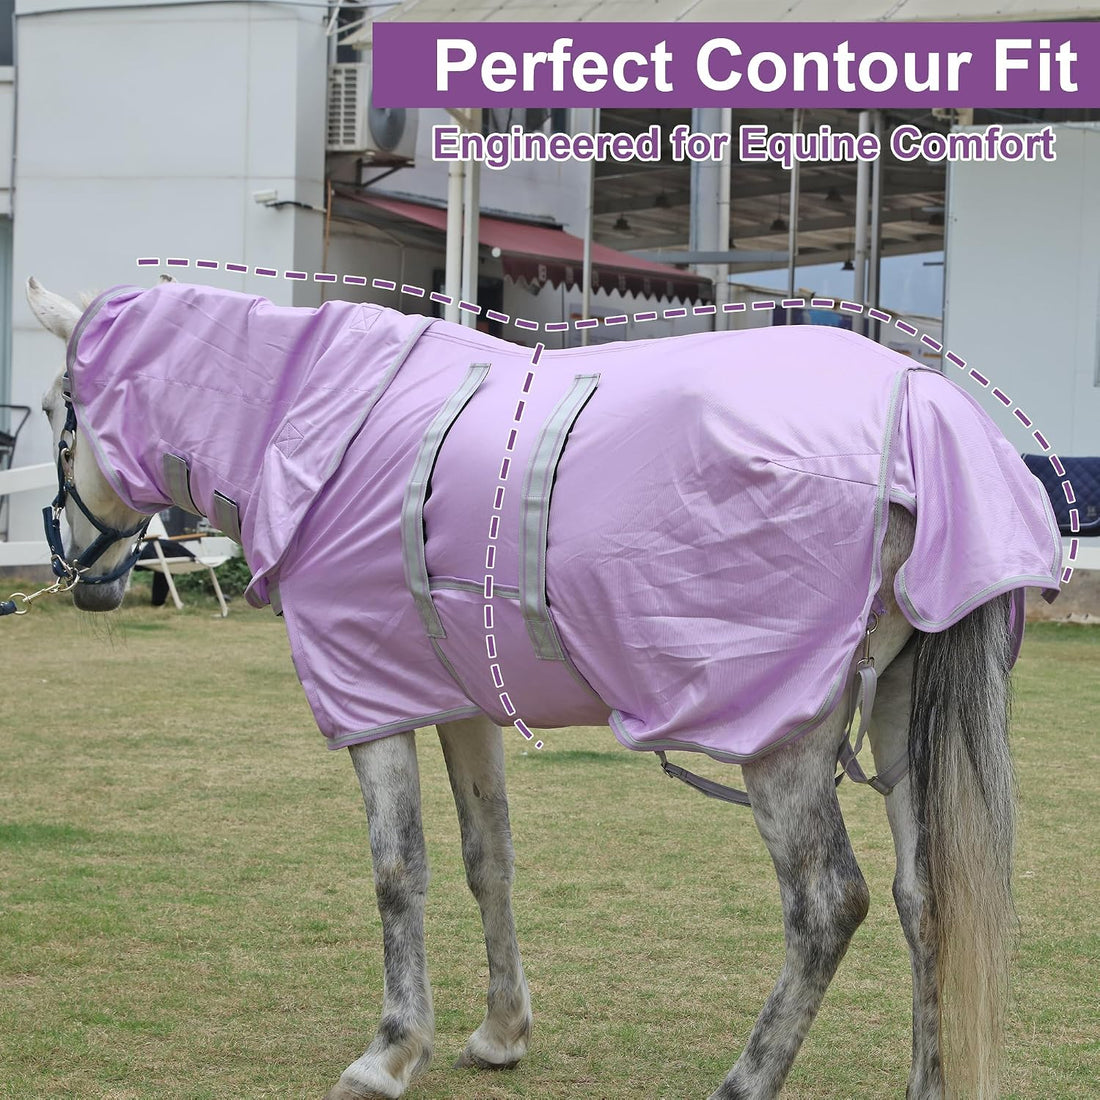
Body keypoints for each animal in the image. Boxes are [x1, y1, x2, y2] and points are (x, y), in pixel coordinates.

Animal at [26, 274, 1062, 1100]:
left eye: (53, 414)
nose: (82, 575)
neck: (321, 425)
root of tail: (923, 409)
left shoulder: (369, 702)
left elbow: (398, 870)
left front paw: (389, 1053)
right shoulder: (457, 705)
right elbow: (489, 858)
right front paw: (498, 1033)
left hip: (784, 739)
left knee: (828, 907)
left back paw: (742, 1082)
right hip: (898, 715)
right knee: (925, 900)